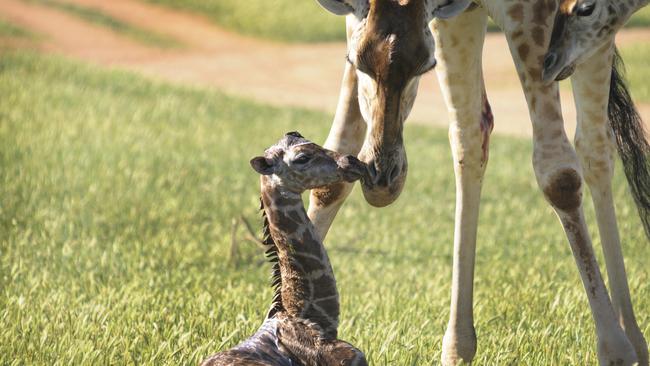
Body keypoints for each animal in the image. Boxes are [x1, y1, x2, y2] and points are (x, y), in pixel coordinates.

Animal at [308, 0, 644, 364]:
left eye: (426, 66)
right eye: (354, 61)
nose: (382, 179)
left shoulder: (535, 18)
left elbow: (558, 176)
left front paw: (615, 348)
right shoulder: (438, 20)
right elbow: (335, 162)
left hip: (594, 35)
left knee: (595, 145)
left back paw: (634, 338)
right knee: (471, 136)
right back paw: (459, 347)